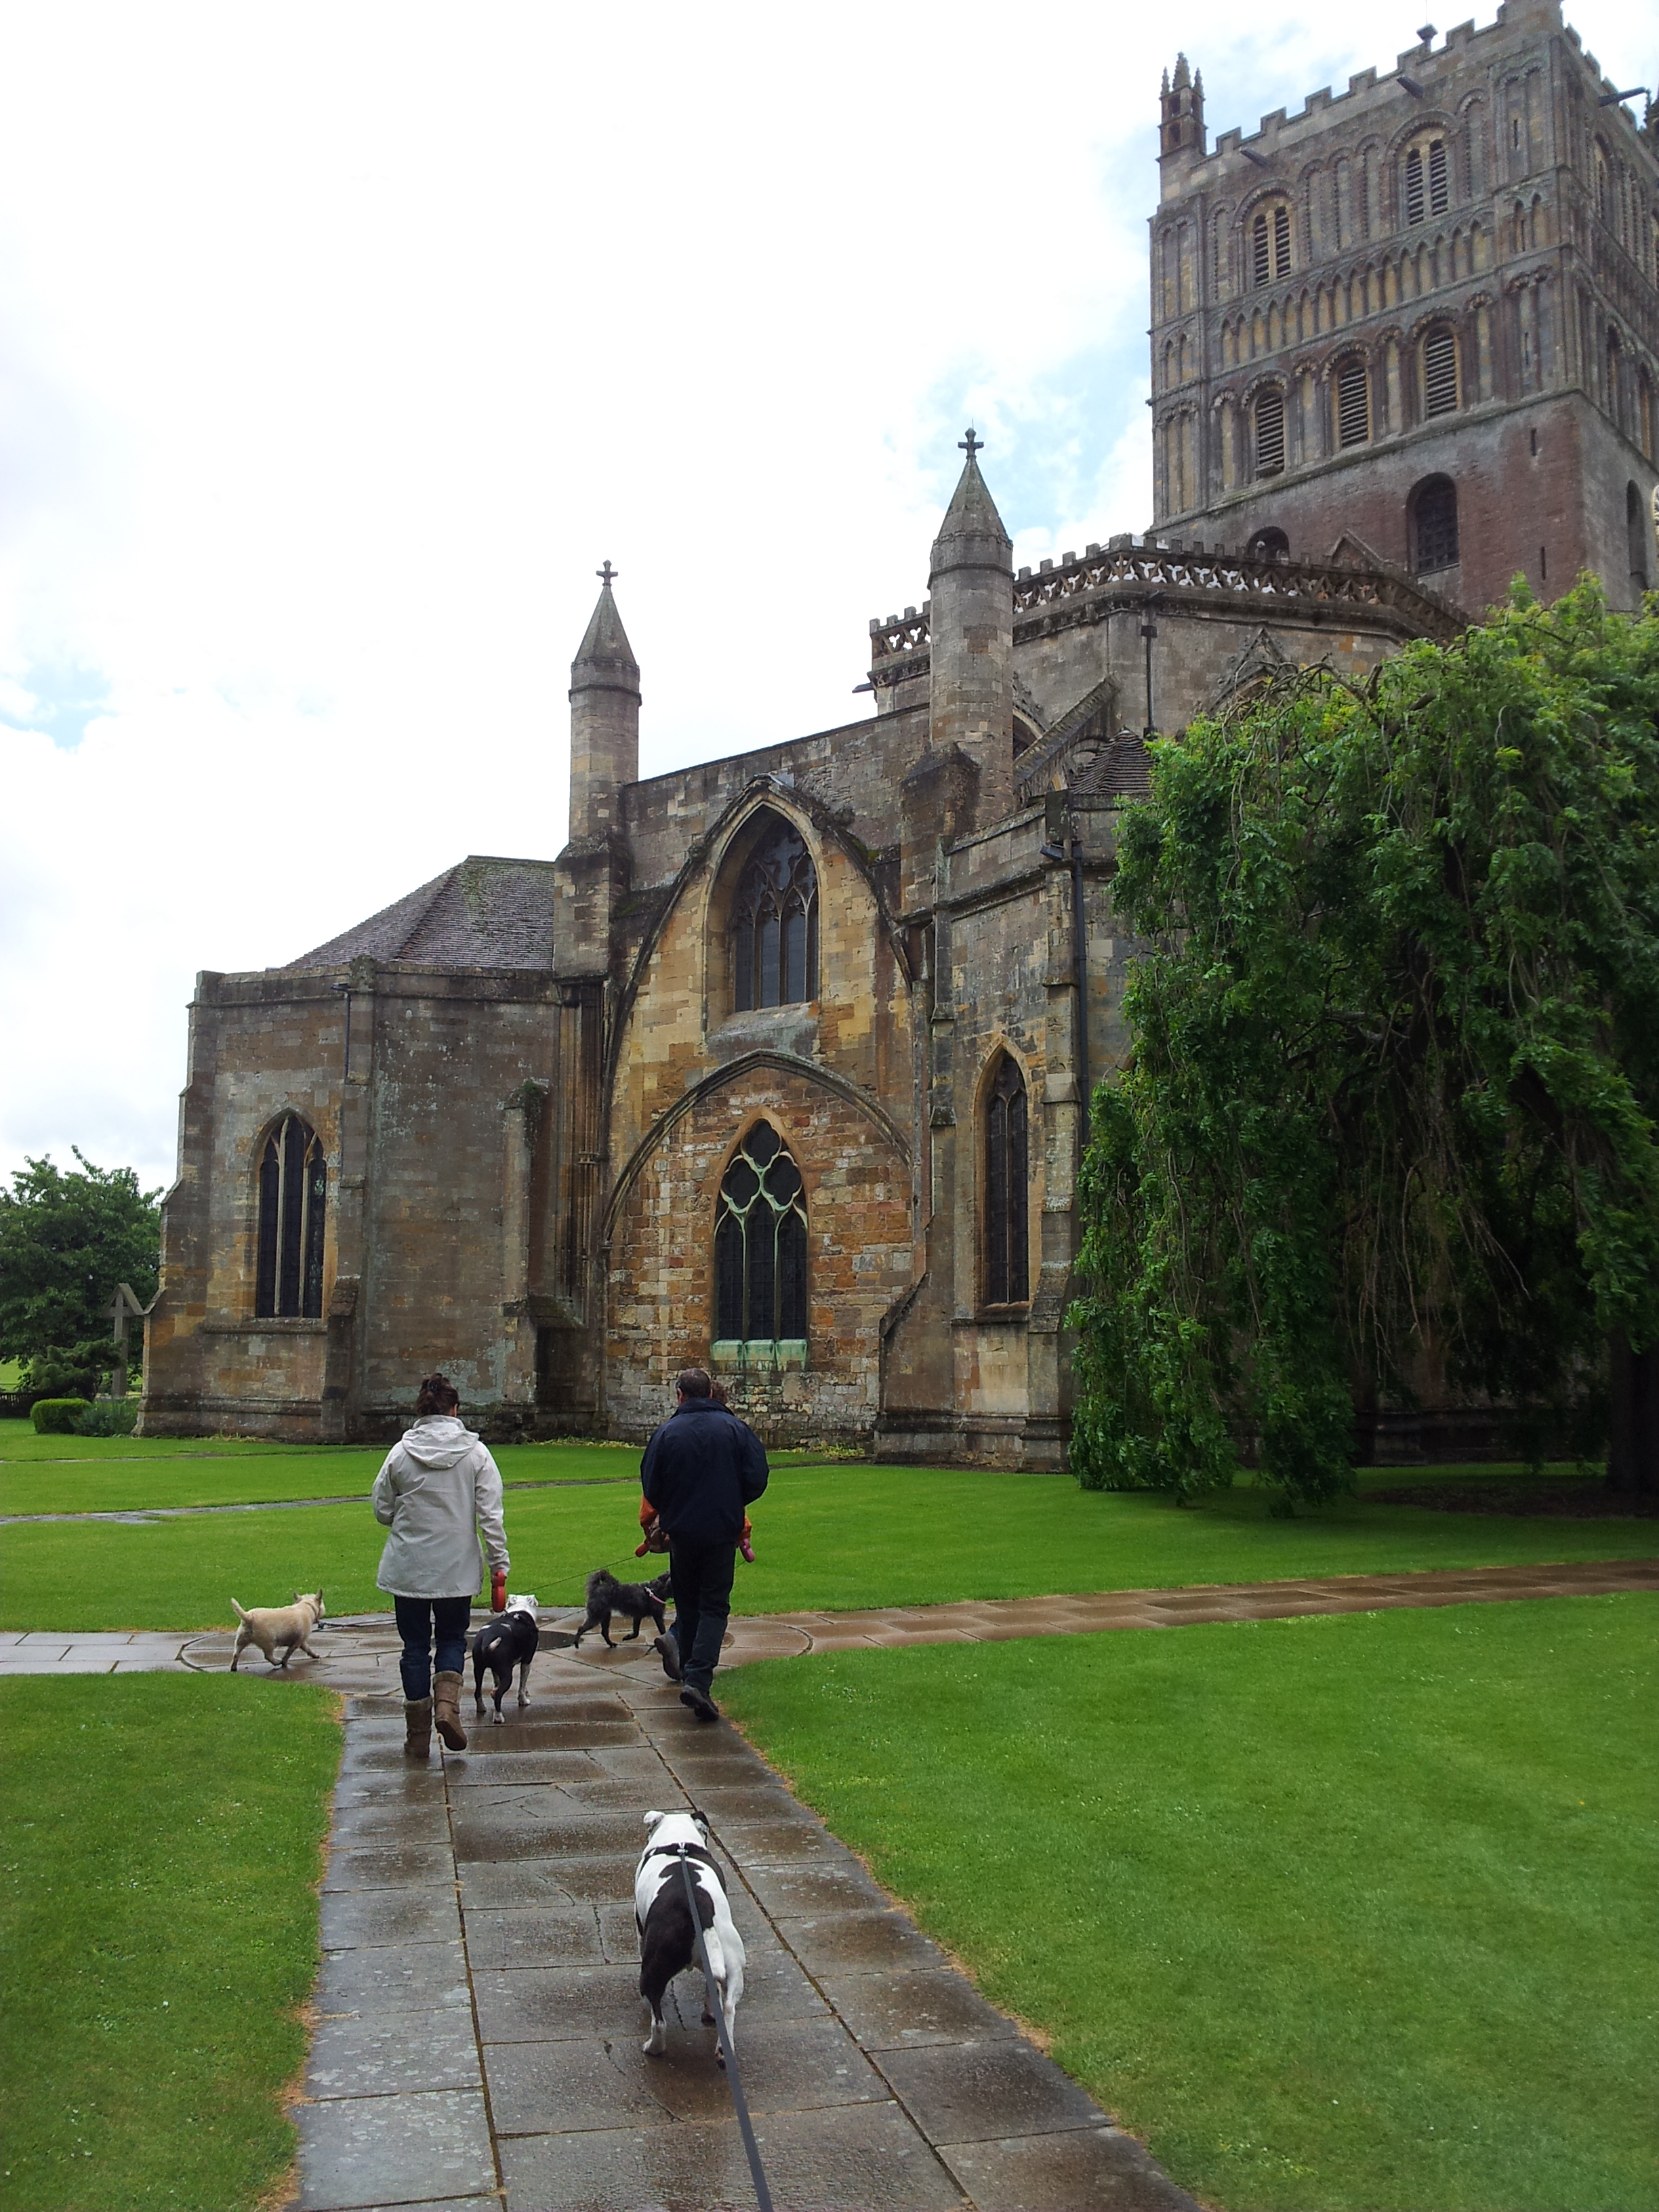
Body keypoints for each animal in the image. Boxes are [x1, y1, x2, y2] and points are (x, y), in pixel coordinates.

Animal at [231, 1601, 327, 1663]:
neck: (305, 1607)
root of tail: (249, 1617)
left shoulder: (301, 1641)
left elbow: (308, 1649)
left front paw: (315, 1655)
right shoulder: (298, 1642)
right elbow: (289, 1653)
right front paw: (284, 1662)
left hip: (241, 1640)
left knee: (236, 1654)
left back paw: (234, 1668)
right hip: (269, 1642)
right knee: (268, 1656)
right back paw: (277, 1662)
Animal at [471, 1593, 541, 1725]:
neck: (521, 1608)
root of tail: (486, 1641)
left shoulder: (495, 1669)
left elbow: (496, 1682)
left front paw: (493, 1691)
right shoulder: (527, 1661)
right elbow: (522, 1685)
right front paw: (523, 1701)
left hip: (478, 1669)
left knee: (478, 1692)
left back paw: (481, 1709)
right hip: (507, 1674)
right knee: (499, 1695)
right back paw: (499, 1717)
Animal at [571, 1565, 676, 1654]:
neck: (657, 1589)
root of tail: (596, 1588)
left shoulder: (637, 1617)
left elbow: (636, 1632)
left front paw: (628, 1637)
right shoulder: (657, 1616)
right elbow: (662, 1630)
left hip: (606, 1616)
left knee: (604, 1632)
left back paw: (611, 1644)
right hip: (597, 1616)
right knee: (581, 1628)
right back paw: (576, 1644)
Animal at [637, 1805, 747, 2062]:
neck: (679, 1841)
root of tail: (698, 1905)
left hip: (653, 1968)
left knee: (659, 2021)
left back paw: (654, 2047)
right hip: (733, 1964)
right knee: (728, 2006)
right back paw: (723, 2049)